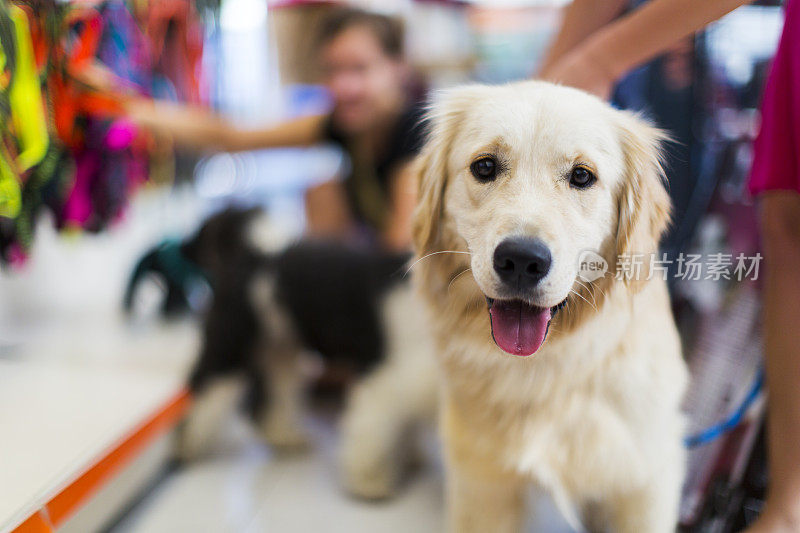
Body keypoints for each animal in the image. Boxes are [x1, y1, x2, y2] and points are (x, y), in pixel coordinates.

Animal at [412, 81, 688, 528]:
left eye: (582, 176)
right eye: (485, 167)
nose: (522, 261)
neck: (545, 370)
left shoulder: (646, 479)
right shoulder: (481, 485)